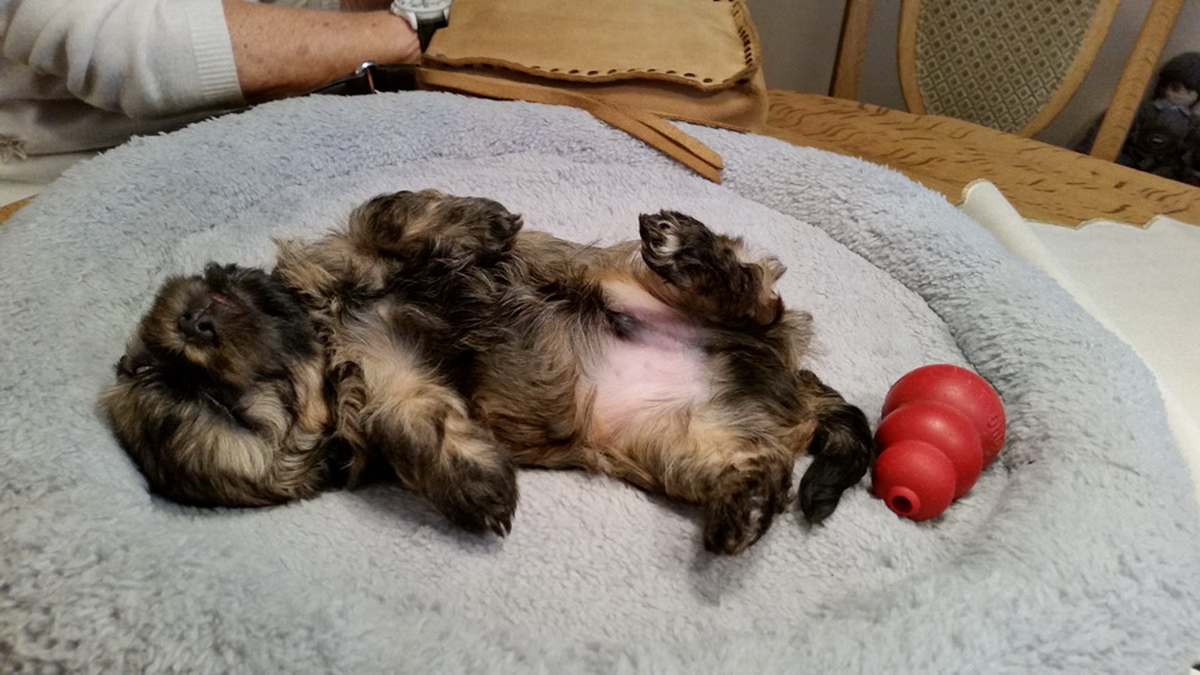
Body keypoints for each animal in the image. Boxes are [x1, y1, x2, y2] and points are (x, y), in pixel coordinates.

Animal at [100, 190, 876, 554]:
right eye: (226, 411)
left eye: (159, 371)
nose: (193, 322)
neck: (326, 330)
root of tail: (790, 386)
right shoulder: (386, 386)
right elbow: (416, 422)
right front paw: (477, 483)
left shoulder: (353, 249)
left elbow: (390, 215)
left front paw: (483, 222)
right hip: (678, 440)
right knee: (761, 467)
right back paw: (742, 510)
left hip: (644, 288)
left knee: (757, 299)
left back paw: (683, 245)